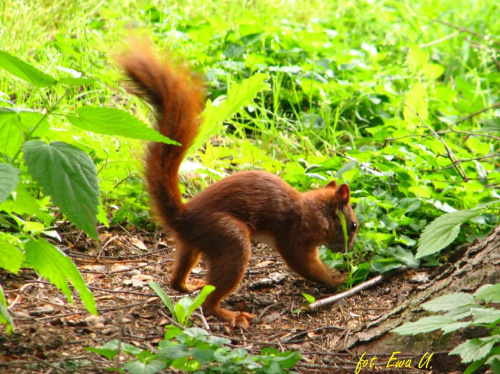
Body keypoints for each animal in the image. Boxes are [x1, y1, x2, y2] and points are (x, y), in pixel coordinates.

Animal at [118, 45, 358, 326]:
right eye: (353, 225)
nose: (349, 251)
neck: (316, 209)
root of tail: (182, 217)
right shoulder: (296, 236)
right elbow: (304, 264)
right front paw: (336, 279)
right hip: (230, 239)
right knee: (210, 300)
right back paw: (230, 314)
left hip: (193, 246)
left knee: (176, 281)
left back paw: (190, 285)